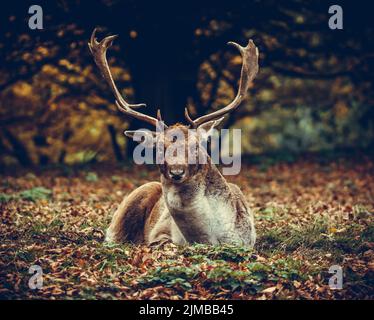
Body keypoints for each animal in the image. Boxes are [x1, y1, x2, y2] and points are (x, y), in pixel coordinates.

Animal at [89, 28, 258, 248]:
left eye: (196, 146)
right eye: (159, 147)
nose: (176, 172)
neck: (209, 238)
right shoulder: (159, 233)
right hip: (125, 210)